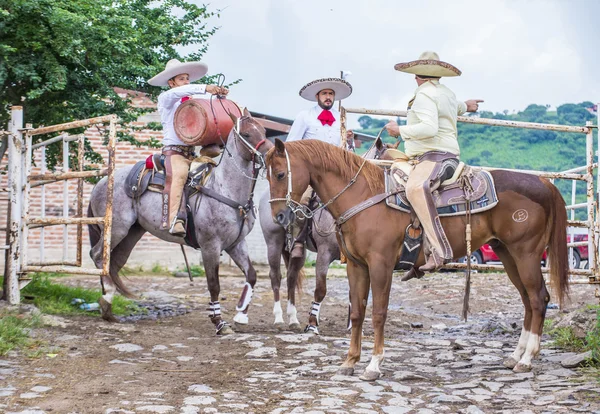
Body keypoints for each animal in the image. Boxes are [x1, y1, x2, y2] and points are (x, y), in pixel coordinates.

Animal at [88, 109, 274, 334]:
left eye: (263, 130)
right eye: (246, 134)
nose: (272, 154)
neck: (224, 189)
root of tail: (102, 181)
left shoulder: (236, 244)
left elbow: (252, 275)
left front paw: (241, 315)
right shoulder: (210, 246)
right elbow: (214, 284)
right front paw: (219, 322)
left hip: (132, 233)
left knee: (114, 262)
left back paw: (108, 307)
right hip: (116, 229)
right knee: (98, 255)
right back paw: (107, 297)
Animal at [258, 137, 390, 334]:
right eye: (279, 175)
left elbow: (353, 292)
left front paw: (352, 327)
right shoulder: (324, 253)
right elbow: (320, 289)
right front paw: (312, 324)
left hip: (297, 252)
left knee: (291, 278)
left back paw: (293, 319)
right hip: (273, 243)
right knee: (276, 276)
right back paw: (279, 317)